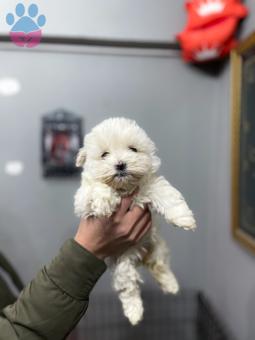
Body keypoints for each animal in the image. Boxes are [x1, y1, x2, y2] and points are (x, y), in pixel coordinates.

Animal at [73, 118, 195, 326]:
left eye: (133, 149)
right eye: (104, 154)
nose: (121, 164)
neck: (123, 190)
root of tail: (139, 256)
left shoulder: (149, 185)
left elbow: (167, 195)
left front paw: (183, 218)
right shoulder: (83, 200)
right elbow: (97, 188)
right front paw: (104, 201)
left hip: (157, 246)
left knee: (159, 265)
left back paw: (170, 284)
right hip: (123, 264)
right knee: (128, 286)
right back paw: (134, 312)